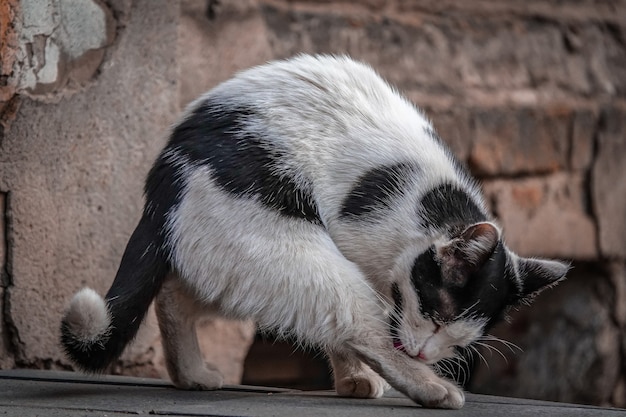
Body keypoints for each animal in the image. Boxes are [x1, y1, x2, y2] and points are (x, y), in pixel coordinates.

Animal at [61, 53, 568, 408]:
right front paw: (366, 375)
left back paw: (192, 375)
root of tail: (164, 170)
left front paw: (353, 381)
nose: (427, 354)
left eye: (459, 341)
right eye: (438, 318)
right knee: (357, 322)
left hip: (236, 260)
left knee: (174, 294)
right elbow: (362, 333)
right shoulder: (356, 248)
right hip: (290, 252)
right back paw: (432, 389)